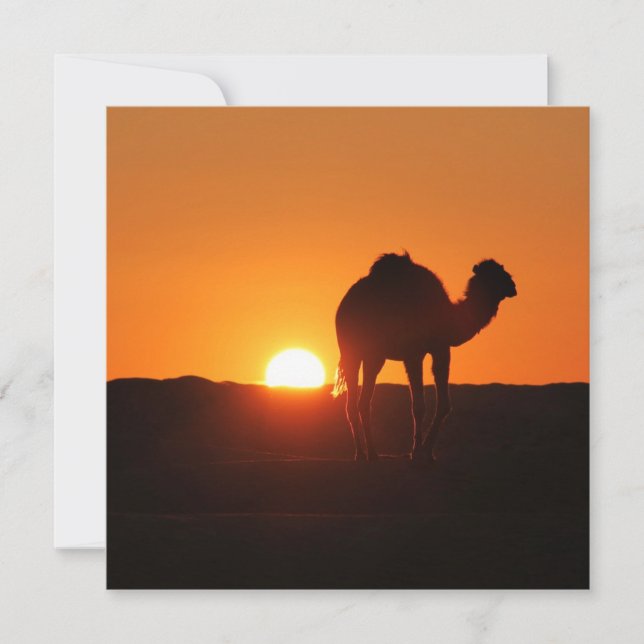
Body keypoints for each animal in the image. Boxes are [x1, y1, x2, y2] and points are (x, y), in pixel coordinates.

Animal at [333, 252, 517, 462]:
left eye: (501, 270)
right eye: (492, 275)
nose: (513, 286)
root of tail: (344, 305)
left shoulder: (441, 349)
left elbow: (444, 404)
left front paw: (428, 452)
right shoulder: (413, 354)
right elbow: (418, 406)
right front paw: (416, 452)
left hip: (375, 356)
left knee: (363, 402)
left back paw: (372, 453)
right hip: (351, 350)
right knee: (352, 402)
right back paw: (361, 453)